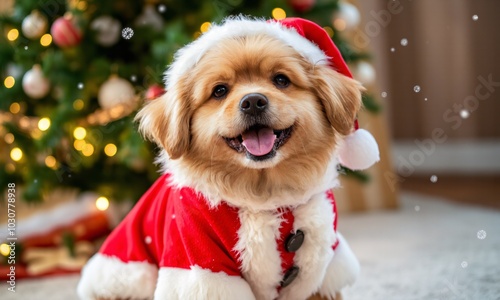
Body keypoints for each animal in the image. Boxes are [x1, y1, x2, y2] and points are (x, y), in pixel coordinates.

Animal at [76, 17, 376, 300]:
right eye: (219, 91)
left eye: (281, 80)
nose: (253, 101)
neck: (265, 195)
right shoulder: (199, 260)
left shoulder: (322, 261)